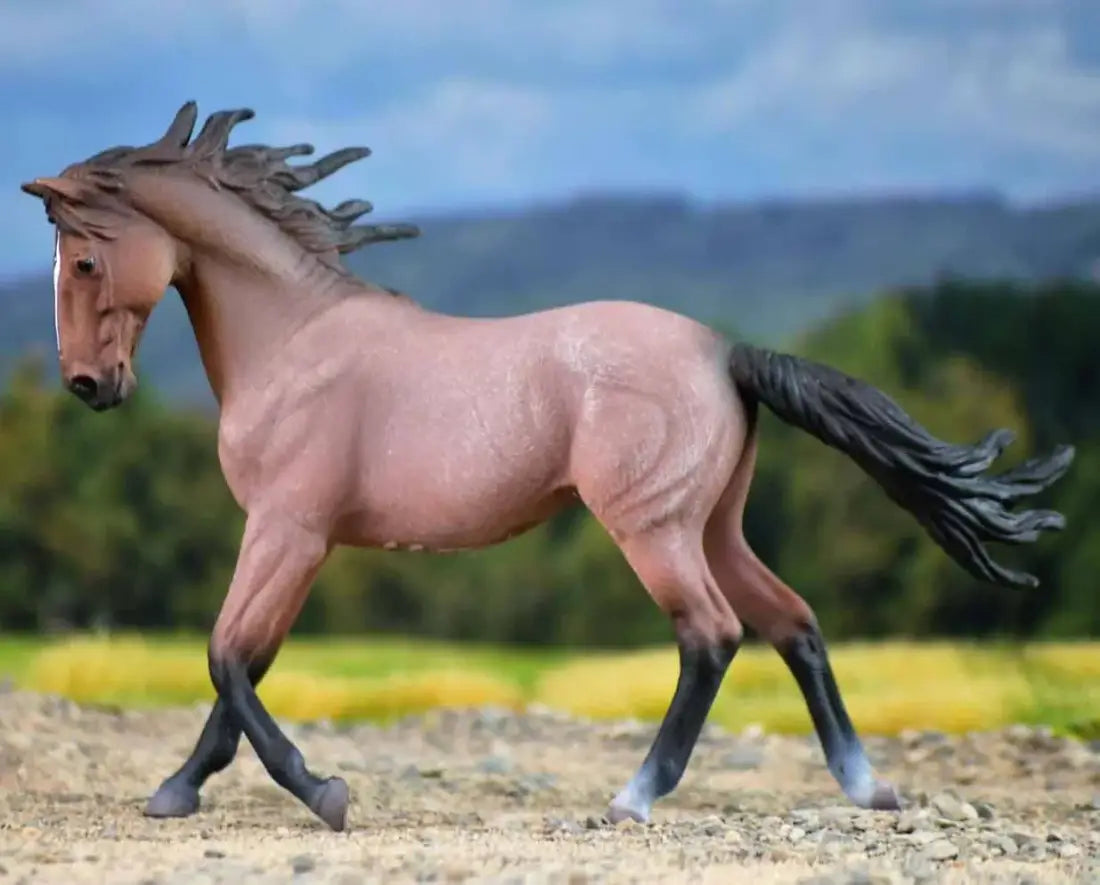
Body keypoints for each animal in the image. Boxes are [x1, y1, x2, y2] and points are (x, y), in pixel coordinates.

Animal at [20, 101, 1075, 833]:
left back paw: (636, 795)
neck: (294, 341)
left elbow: (228, 656)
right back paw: (867, 786)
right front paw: (177, 790)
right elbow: (244, 660)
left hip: (651, 528)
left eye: (83, 261)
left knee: (713, 636)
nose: (87, 386)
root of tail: (724, 352)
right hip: (713, 525)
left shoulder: (290, 530)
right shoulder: (295, 539)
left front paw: (324, 793)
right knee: (795, 624)